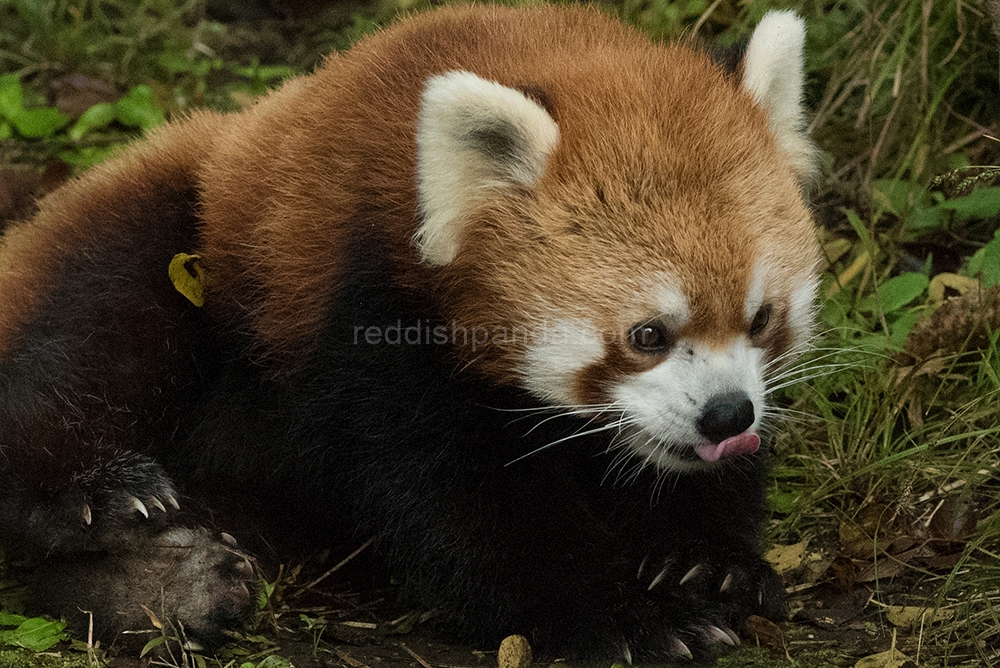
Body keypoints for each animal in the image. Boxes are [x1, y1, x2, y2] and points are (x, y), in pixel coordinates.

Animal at [0, 5, 816, 664]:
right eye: (648, 334)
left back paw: (164, 583)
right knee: (97, 338)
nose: (727, 416)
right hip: (176, 234)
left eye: (761, 318)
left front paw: (707, 560)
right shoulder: (368, 317)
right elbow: (468, 508)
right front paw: (628, 613)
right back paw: (102, 500)